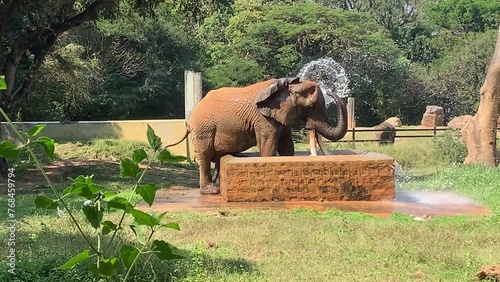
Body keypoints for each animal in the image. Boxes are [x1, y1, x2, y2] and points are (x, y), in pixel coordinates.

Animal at [166, 77, 346, 196]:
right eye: (311, 106)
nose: (330, 91)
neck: (287, 85)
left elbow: (287, 146)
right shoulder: (263, 119)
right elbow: (269, 144)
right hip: (204, 128)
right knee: (204, 155)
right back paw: (211, 191)